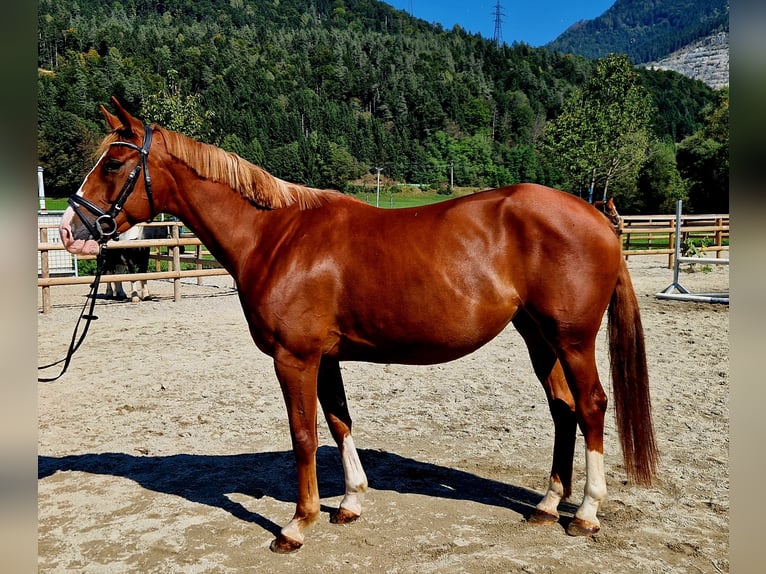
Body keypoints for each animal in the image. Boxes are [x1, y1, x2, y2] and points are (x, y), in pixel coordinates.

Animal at [58, 101, 660, 556]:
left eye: (113, 164)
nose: (69, 230)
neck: (277, 236)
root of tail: (597, 216)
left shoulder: (294, 358)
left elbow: (304, 435)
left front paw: (297, 525)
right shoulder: (324, 358)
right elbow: (339, 421)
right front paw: (349, 502)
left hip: (573, 339)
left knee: (592, 406)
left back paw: (585, 513)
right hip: (539, 337)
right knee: (563, 409)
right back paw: (546, 505)